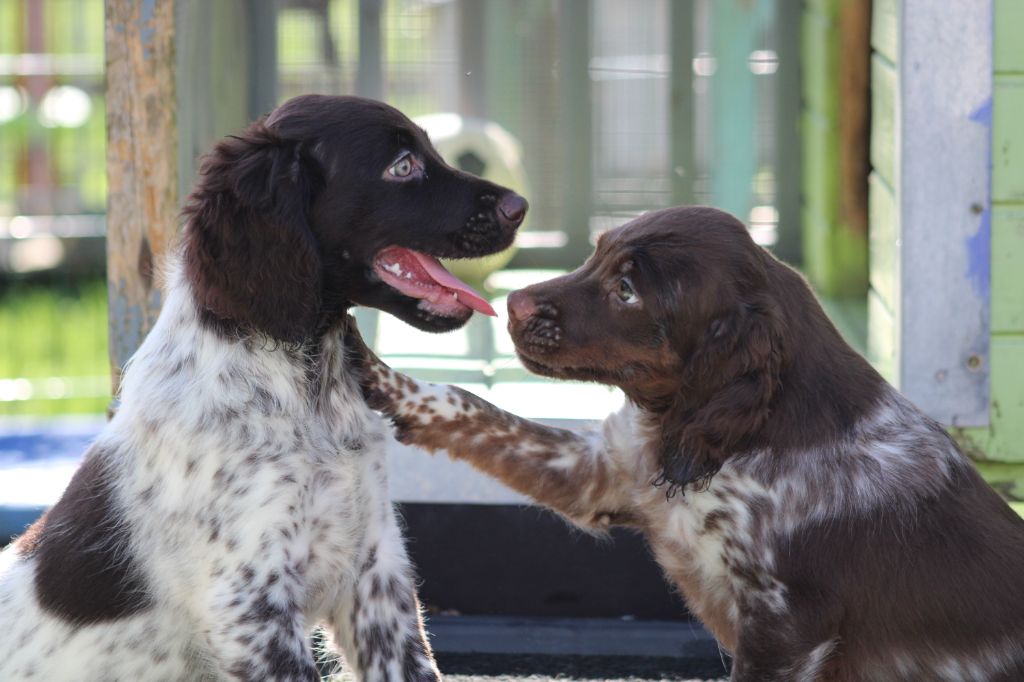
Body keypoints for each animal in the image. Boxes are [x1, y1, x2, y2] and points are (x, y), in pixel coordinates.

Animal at [356, 205, 1024, 679]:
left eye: (627, 291)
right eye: (597, 253)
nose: (513, 305)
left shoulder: (786, 627)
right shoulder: (602, 473)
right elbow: (474, 408)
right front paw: (378, 371)